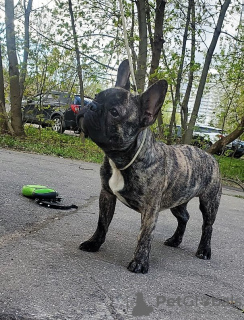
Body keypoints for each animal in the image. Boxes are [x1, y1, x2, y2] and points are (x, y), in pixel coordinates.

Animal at [79, 59, 222, 272]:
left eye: (114, 112)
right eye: (96, 97)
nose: (91, 105)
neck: (122, 161)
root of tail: (209, 156)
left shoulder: (150, 209)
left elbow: (144, 236)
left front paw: (139, 262)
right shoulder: (106, 195)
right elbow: (102, 223)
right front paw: (94, 243)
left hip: (209, 202)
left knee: (208, 226)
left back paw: (204, 250)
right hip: (177, 200)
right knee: (184, 217)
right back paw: (175, 240)